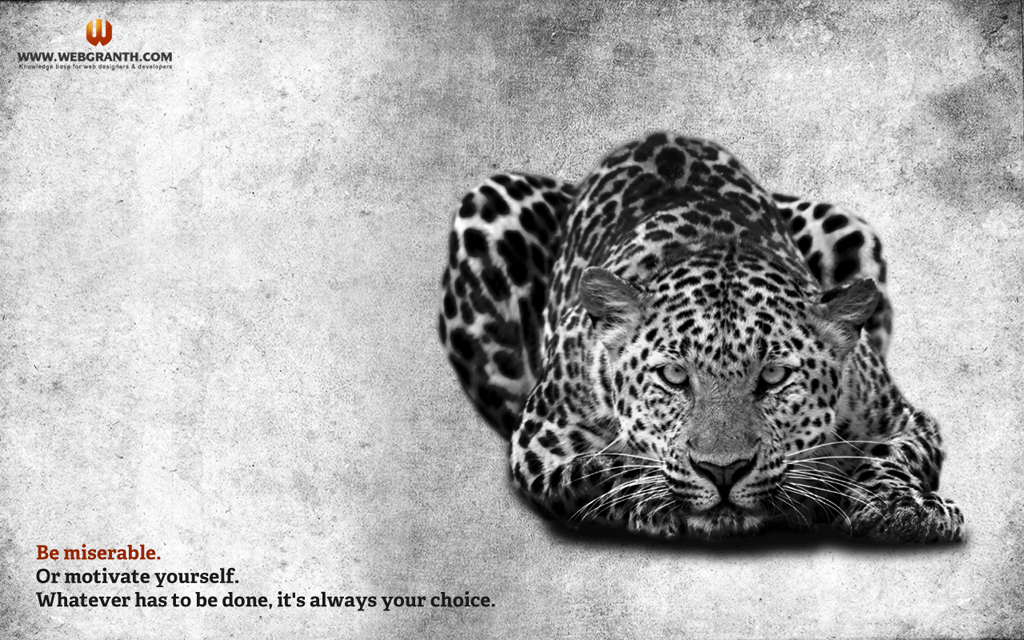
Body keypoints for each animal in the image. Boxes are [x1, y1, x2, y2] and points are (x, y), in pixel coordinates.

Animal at [438, 132, 963, 543]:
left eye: (774, 376)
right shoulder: (539, 443)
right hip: (490, 205)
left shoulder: (905, 421)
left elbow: (891, 456)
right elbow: (602, 469)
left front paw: (906, 507)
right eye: (673, 376)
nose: (723, 471)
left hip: (845, 224)